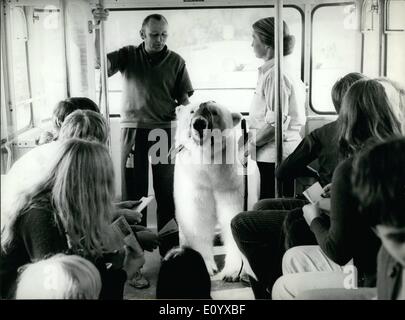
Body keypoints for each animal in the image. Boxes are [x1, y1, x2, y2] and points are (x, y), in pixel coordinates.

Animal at [173, 101, 243, 282]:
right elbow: (197, 220)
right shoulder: (195, 184)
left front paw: (232, 272)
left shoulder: (230, 183)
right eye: (191, 111)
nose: (199, 124)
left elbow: (232, 217)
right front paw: (203, 266)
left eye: (214, 112)